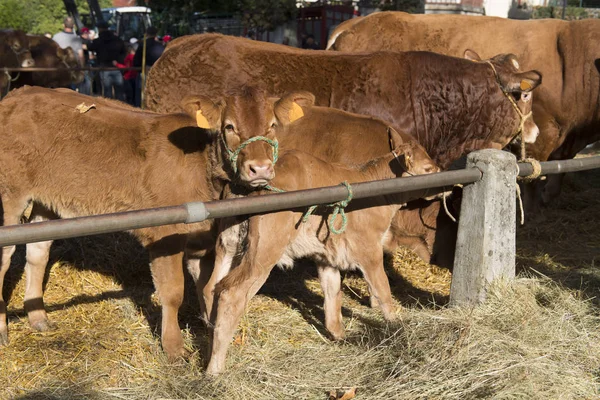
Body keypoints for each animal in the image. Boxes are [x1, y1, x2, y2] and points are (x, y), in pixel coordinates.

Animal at [0, 85, 310, 360]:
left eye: (272, 125)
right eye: (229, 127)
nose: (260, 168)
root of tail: (18, 93)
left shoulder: (201, 239)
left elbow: (206, 286)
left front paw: (209, 329)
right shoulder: (166, 236)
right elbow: (173, 292)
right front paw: (173, 348)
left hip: (47, 200)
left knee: (38, 251)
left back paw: (38, 318)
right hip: (10, 197)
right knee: (5, 258)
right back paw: (3, 330)